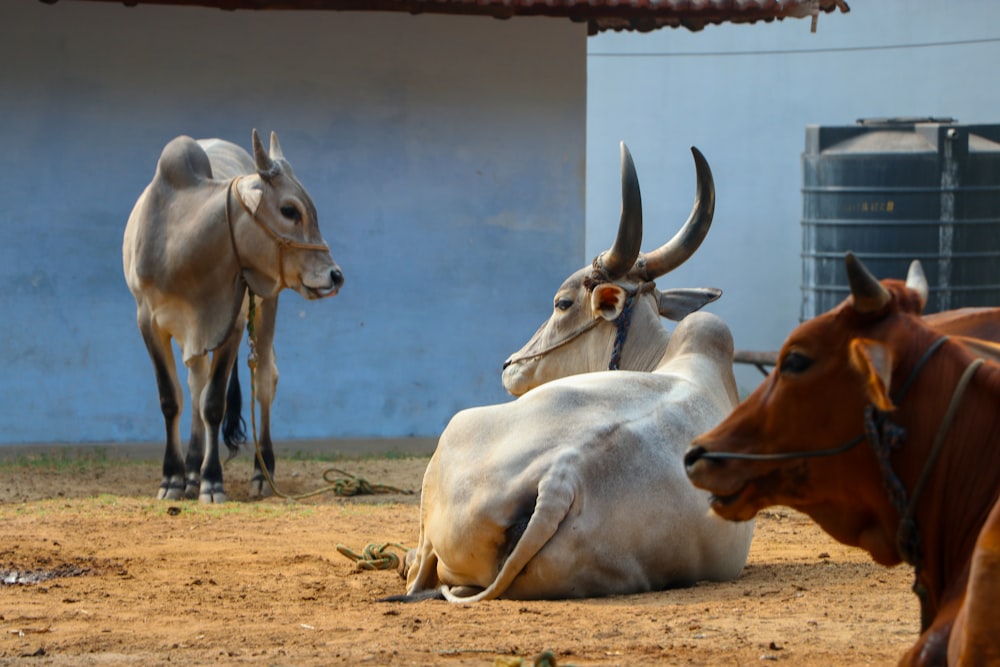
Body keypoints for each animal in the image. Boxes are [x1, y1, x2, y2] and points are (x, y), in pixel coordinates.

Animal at [121, 128, 344, 504]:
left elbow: (214, 402)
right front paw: (172, 478)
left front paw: (212, 482)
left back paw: (260, 472)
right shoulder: (148, 321)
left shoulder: (233, 324)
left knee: (264, 379)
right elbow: (172, 399)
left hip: (267, 306)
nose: (335, 275)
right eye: (289, 210)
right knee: (196, 381)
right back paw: (191, 470)